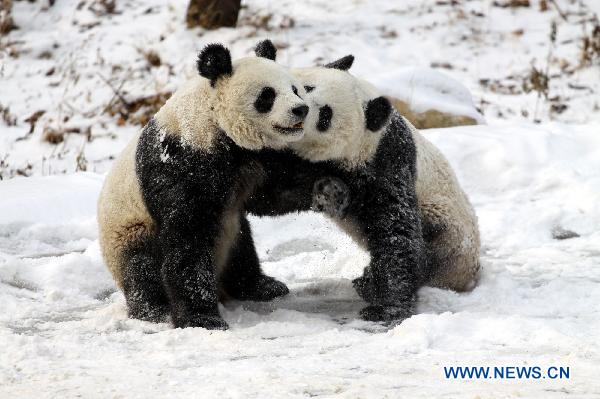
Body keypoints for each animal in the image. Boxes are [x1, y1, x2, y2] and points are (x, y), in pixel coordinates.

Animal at [96, 41, 312, 332]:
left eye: (295, 89)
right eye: (267, 96)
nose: (301, 109)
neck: (213, 120)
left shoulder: (254, 160)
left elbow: (275, 193)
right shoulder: (181, 161)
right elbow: (188, 237)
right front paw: (202, 319)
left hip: (230, 231)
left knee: (241, 251)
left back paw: (264, 287)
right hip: (128, 230)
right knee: (140, 267)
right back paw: (154, 310)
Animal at [246, 46, 480, 324]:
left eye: (325, 116)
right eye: (306, 88)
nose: (301, 110)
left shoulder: (385, 162)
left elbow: (396, 232)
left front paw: (385, 308)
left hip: (448, 233)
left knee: (428, 250)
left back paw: (369, 283)